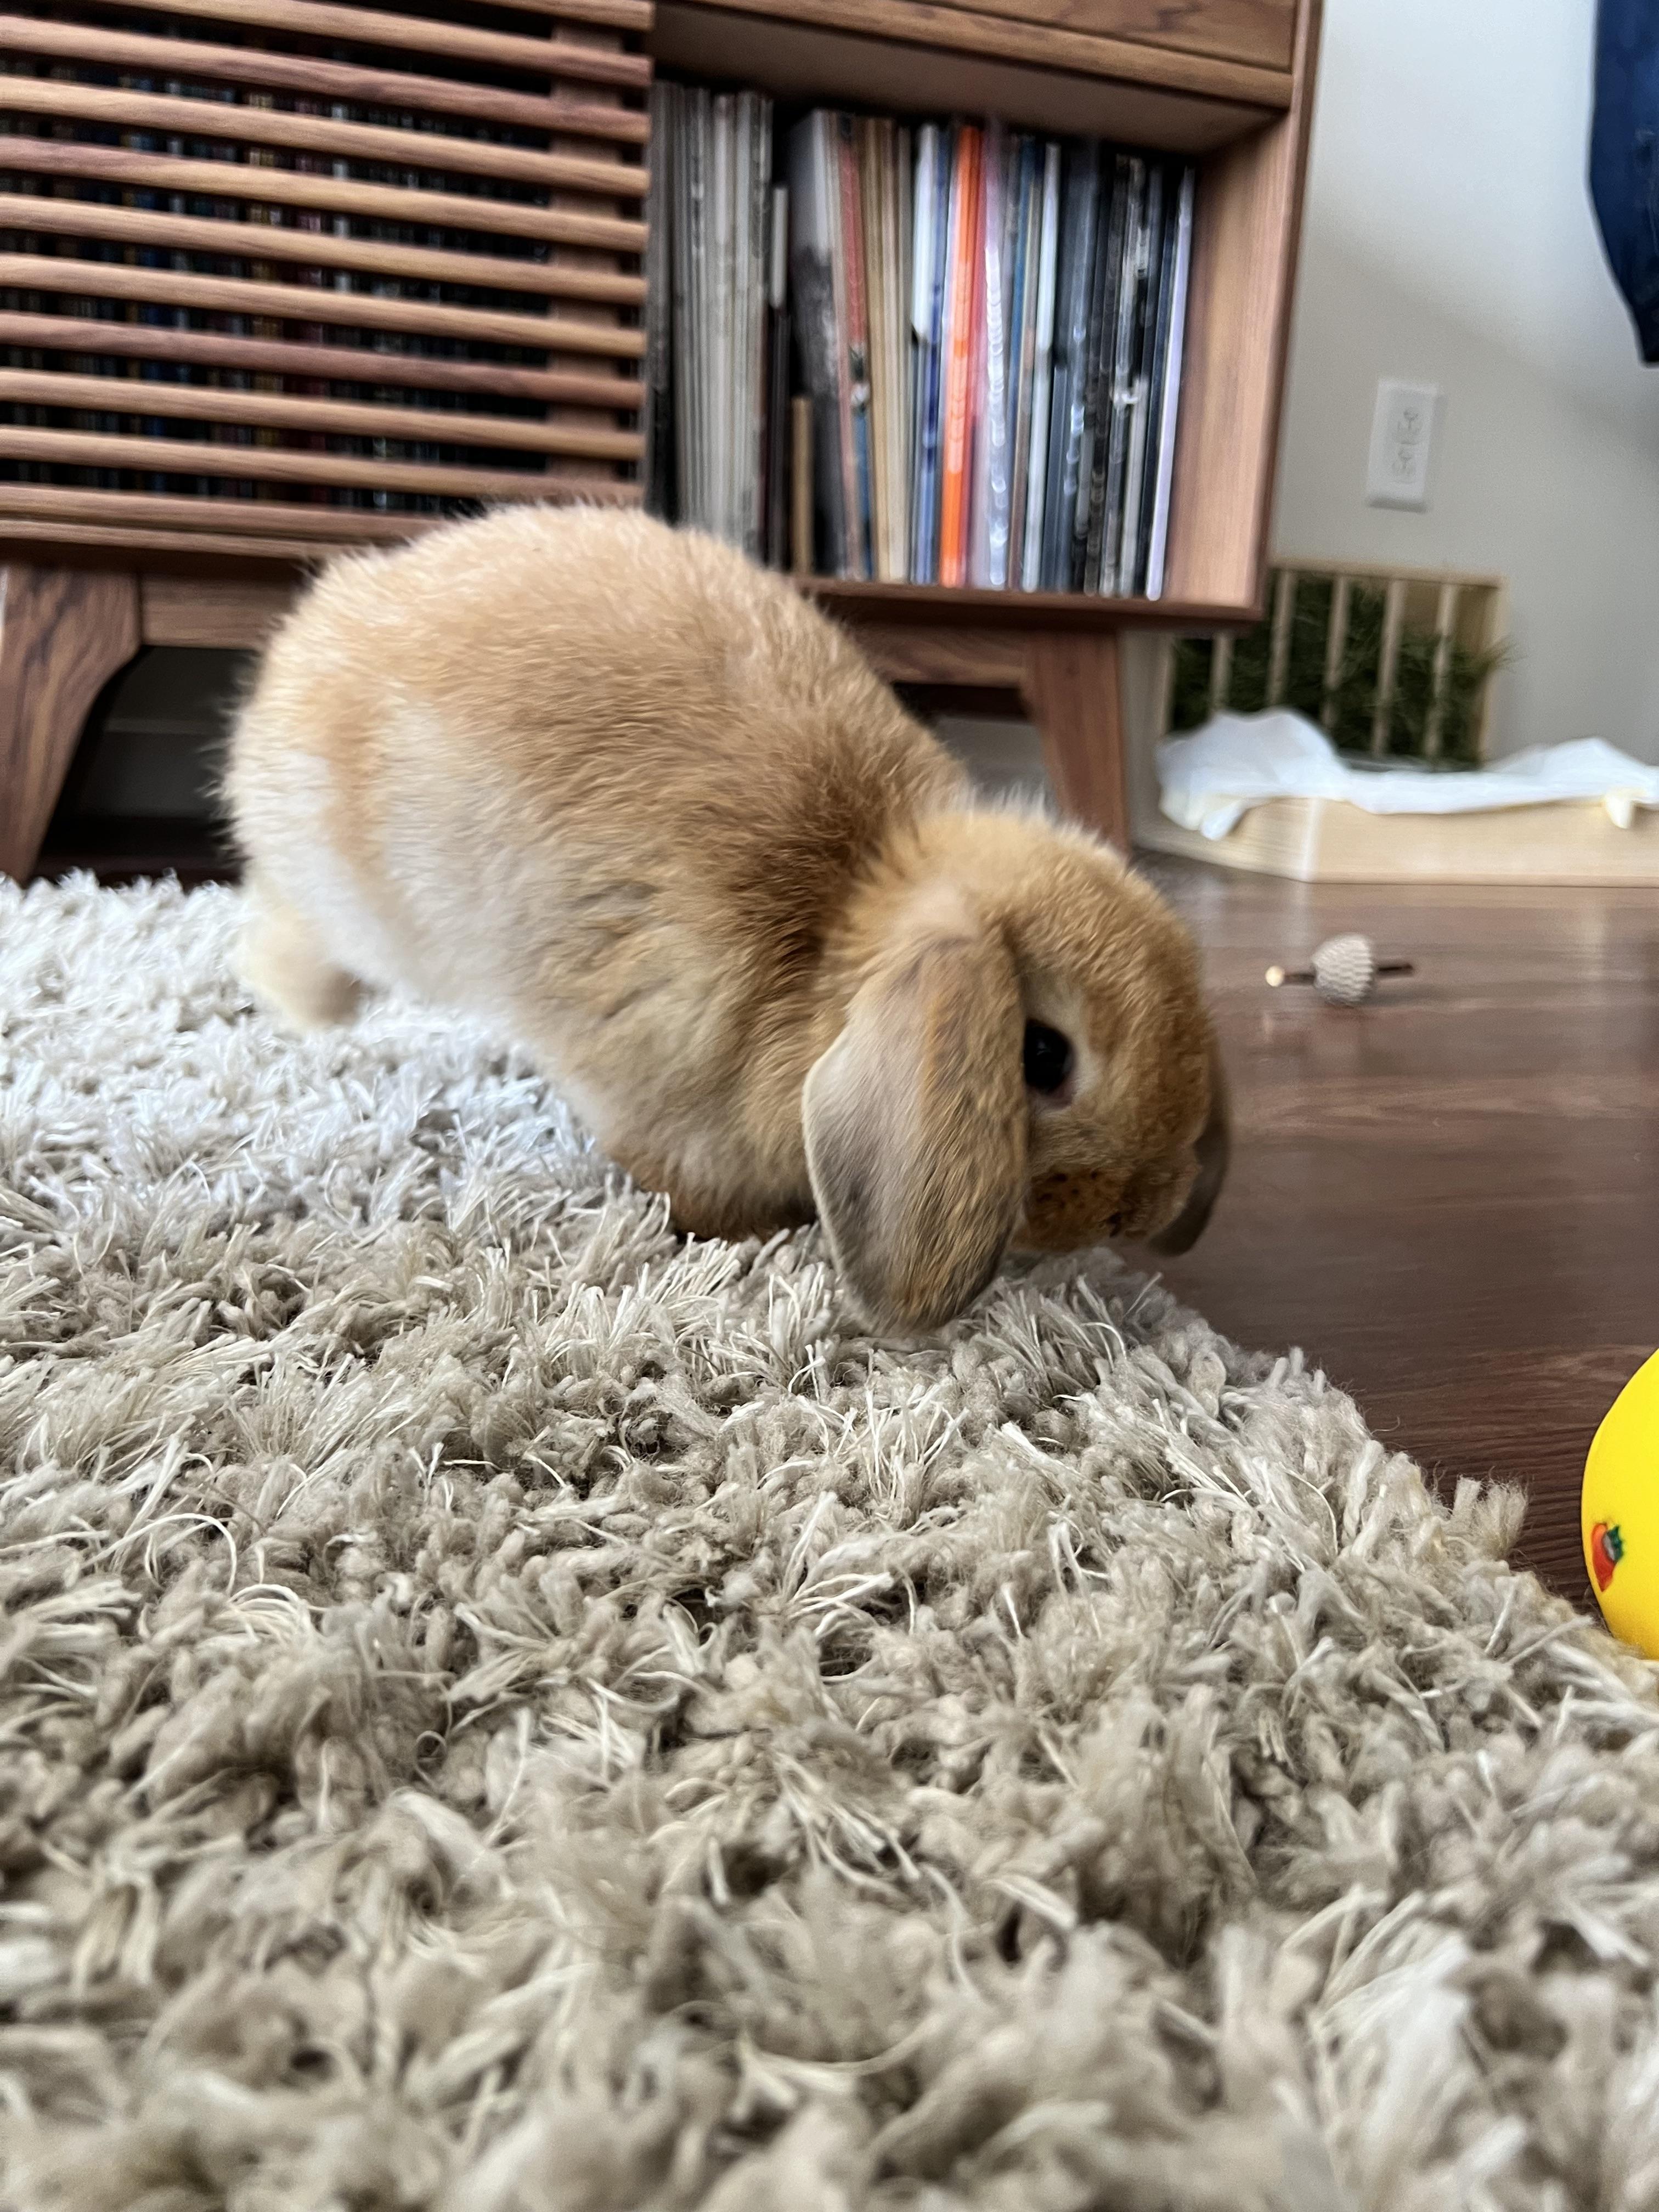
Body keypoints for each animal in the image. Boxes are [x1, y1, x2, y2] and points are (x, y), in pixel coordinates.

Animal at [225, 504, 1227, 1332]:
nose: (1138, 1209)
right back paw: (305, 1008)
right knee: (283, 924)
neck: (838, 931)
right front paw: (747, 1240)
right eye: (1043, 1056)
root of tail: (309, 633)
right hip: (351, 899)